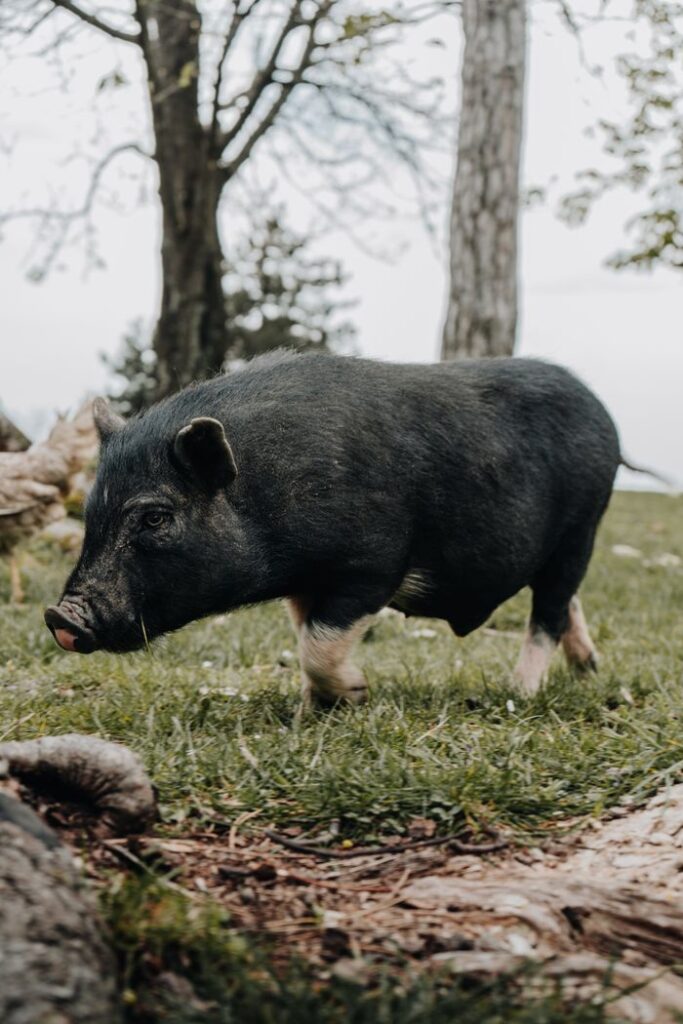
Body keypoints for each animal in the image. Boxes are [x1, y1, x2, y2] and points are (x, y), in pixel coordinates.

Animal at [45, 351, 621, 701]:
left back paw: (517, 693)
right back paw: (588, 670)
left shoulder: (373, 564)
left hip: (582, 529)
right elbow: (308, 638)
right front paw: (315, 708)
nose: (60, 616)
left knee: (549, 610)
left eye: (155, 516)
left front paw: (356, 693)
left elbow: (320, 645)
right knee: (566, 603)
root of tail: (602, 410)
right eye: (90, 512)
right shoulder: (308, 583)